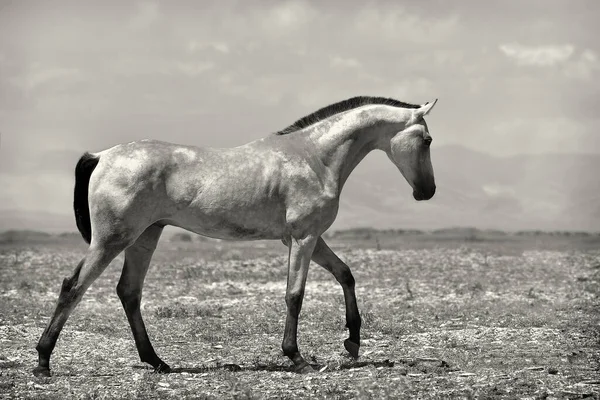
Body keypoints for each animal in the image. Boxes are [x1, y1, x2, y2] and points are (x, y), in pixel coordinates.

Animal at [31, 95, 436, 376]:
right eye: (428, 140)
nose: (427, 192)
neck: (314, 157)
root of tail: (102, 155)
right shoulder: (303, 239)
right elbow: (295, 295)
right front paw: (296, 357)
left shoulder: (309, 238)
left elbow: (345, 274)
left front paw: (352, 341)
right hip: (113, 240)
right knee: (73, 287)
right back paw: (43, 362)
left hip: (145, 237)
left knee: (128, 292)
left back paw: (157, 361)